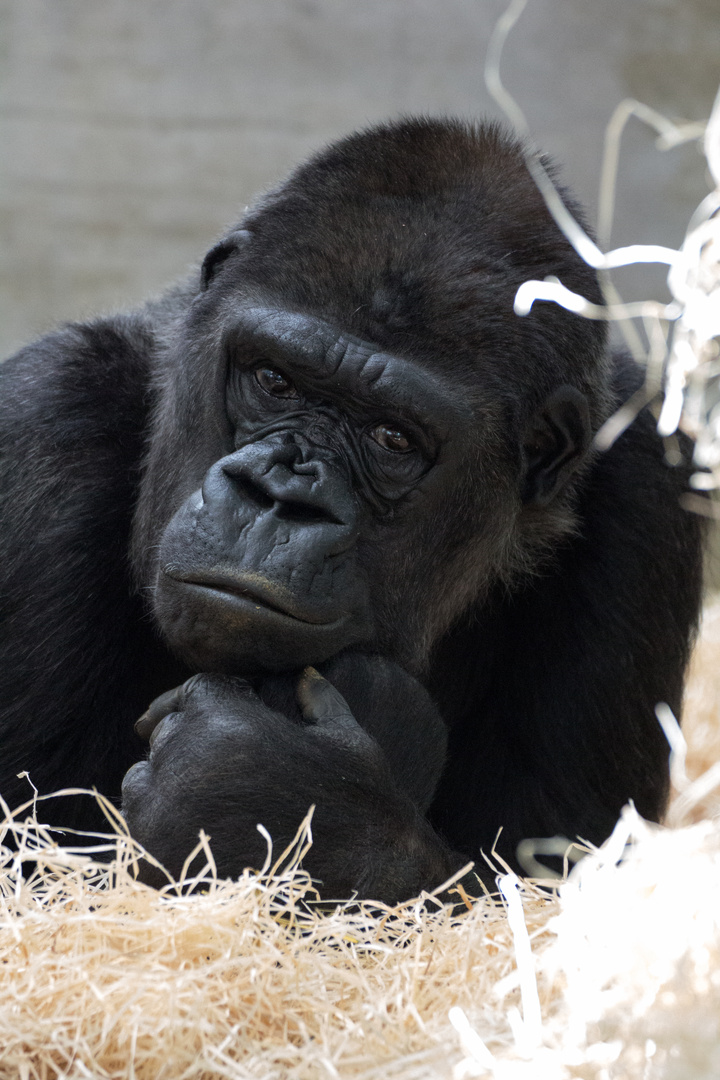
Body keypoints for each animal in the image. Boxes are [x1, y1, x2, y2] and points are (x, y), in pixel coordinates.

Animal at [0, 118, 699, 902]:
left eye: (393, 438)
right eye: (274, 380)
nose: (280, 500)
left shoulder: (645, 487)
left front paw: (266, 792)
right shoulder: (47, 412)